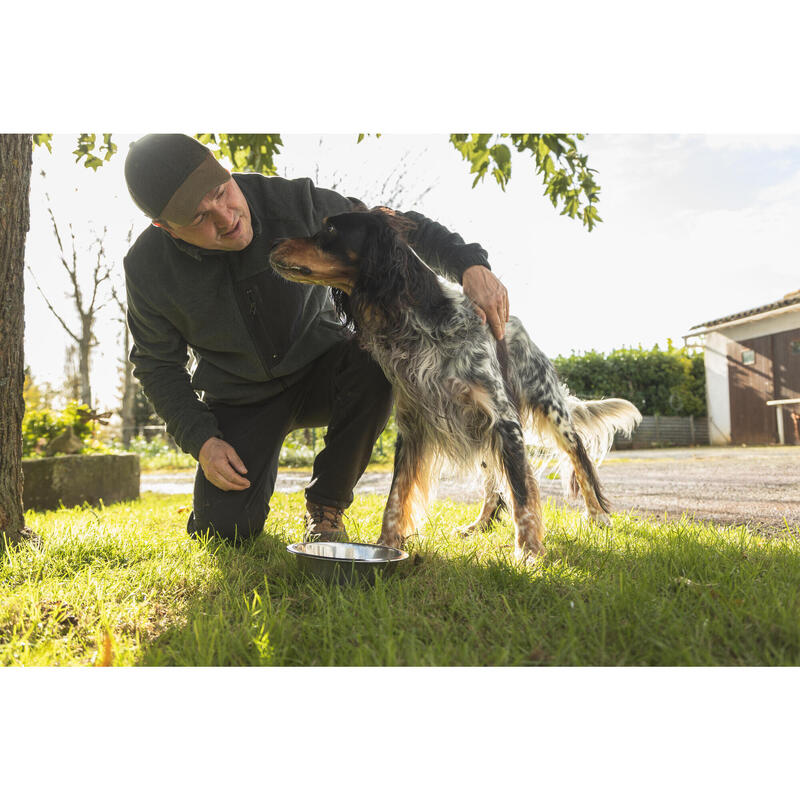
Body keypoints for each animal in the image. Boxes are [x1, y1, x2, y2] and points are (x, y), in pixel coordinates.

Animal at [272, 211, 640, 564]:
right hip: (481, 433)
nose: (273, 242)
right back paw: (479, 525)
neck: (423, 327)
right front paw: (386, 545)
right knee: (494, 486)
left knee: (580, 460)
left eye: (331, 229)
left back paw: (599, 517)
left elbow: (522, 495)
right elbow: (396, 497)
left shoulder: (505, 421)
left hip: (549, 412)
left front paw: (529, 553)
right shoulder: (414, 427)